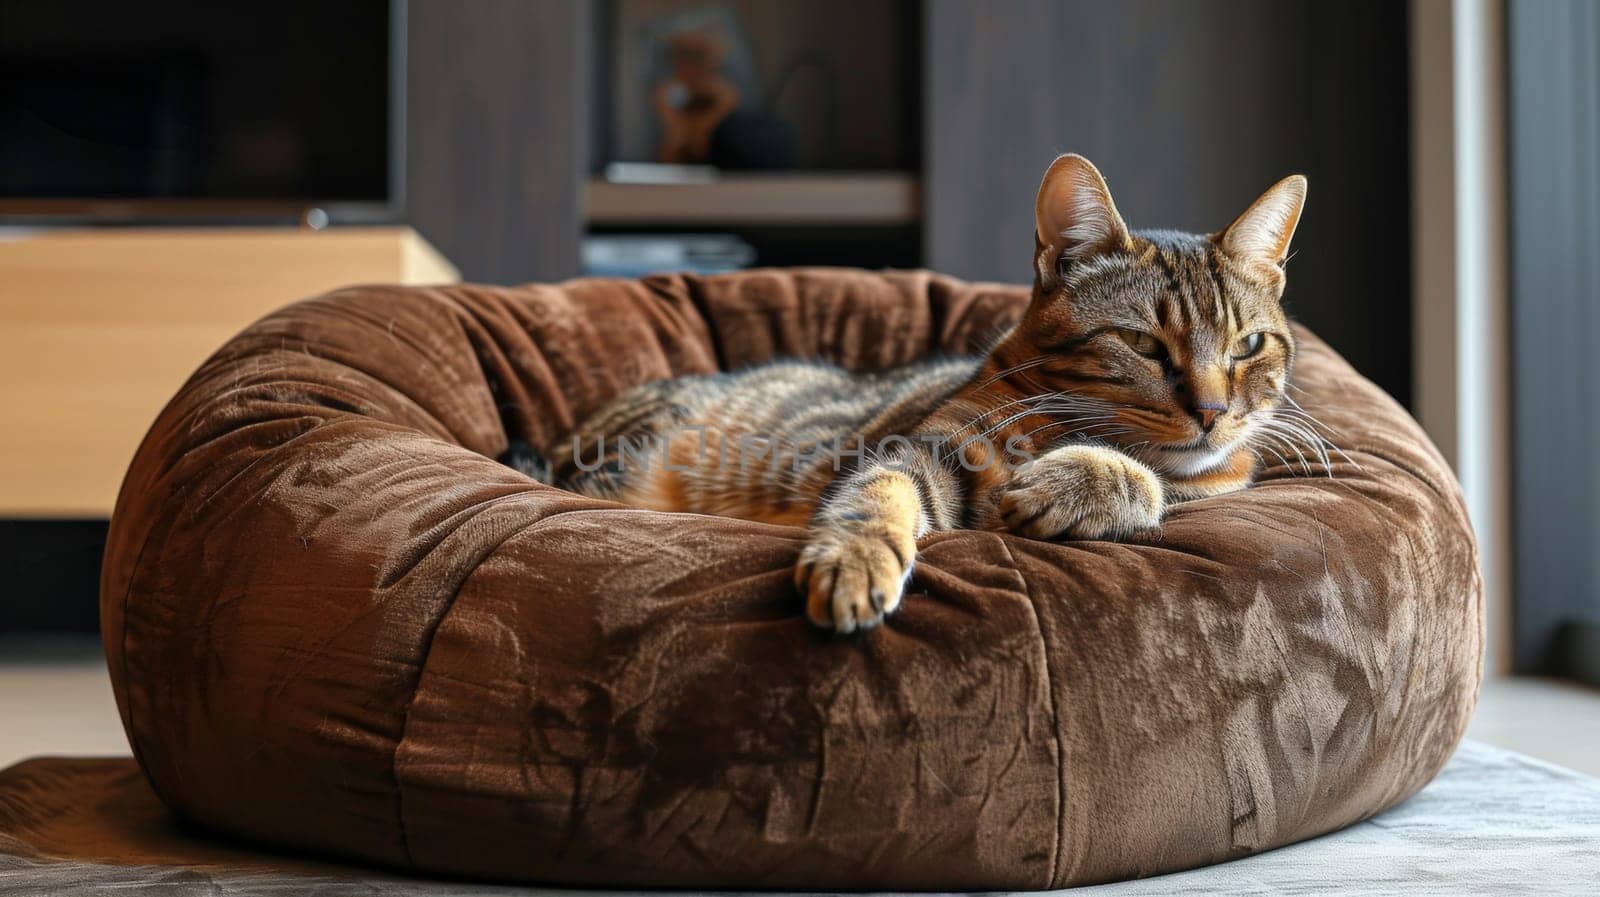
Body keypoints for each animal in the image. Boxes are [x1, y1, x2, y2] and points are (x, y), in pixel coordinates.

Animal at [512, 155, 1312, 629]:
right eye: (1144, 344)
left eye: (1248, 345)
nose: (1212, 411)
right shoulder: (918, 448)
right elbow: (878, 495)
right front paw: (854, 559)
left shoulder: (1216, 486)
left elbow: (1154, 481)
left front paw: (1073, 483)